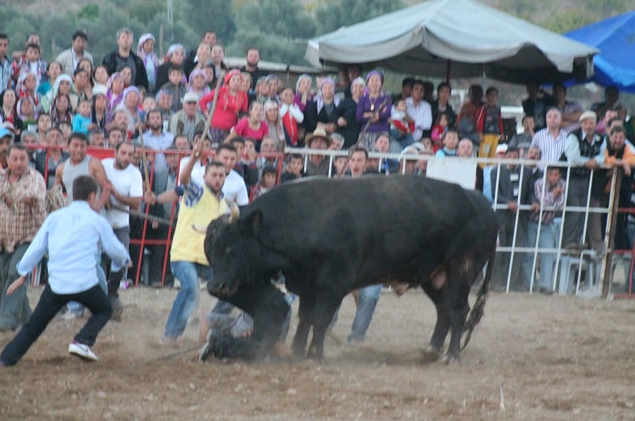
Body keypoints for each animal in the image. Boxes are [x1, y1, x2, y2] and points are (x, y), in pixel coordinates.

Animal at [201, 176, 500, 362]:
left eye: (231, 246)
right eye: (210, 251)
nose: (216, 286)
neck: (305, 219)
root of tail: (480, 202)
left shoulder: (333, 285)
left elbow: (320, 319)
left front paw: (315, 353)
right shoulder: (306, 283)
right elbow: (306, 318)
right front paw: (297, 350)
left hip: (462, 268)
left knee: (458, 310)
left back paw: (451, 356)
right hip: (433, 276)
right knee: (444, 309)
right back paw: (431, 350)